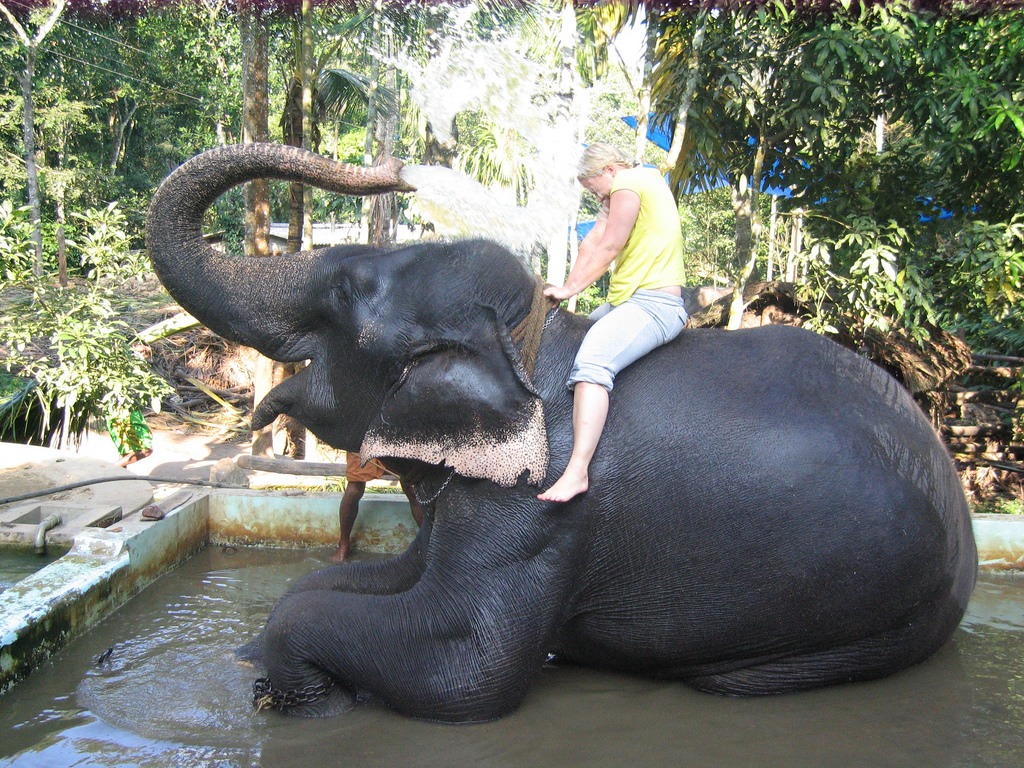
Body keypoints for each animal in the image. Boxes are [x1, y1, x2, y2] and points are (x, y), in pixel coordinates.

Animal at [146, 142, 977, 723]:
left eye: (345, 293)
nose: (398, 170)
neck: (526, 341)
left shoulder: (537, 510)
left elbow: (462, 666)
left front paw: (297, 695)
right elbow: (355, 582)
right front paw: (254, 656)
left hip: (879, 608)